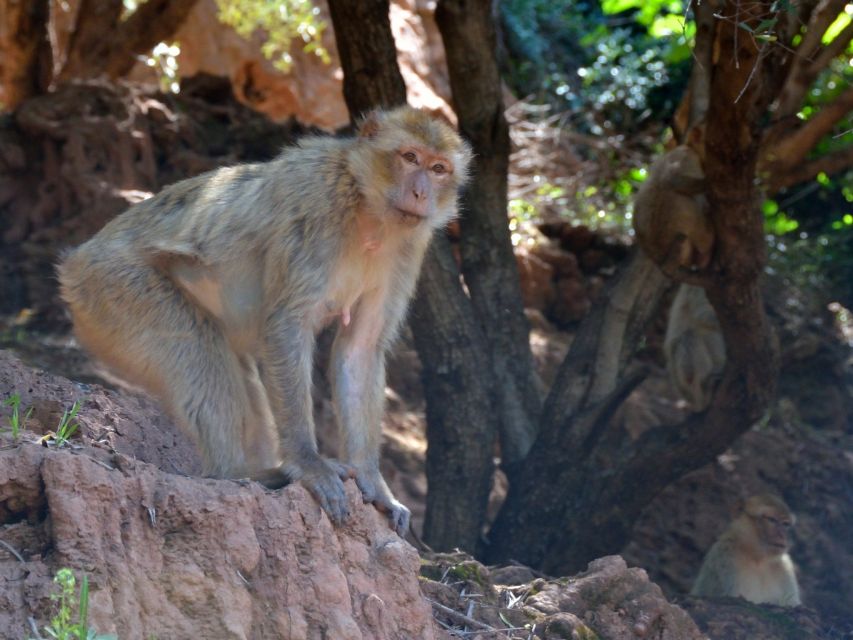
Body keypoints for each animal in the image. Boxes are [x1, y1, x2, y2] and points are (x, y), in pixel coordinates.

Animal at [60, 106, 472, 536]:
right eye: (409, 157)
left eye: (439, 168)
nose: (421, 193)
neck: (368, 209)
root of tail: (75, 262)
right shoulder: (316, 204)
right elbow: (286, 327)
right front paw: (308, 463)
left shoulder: (409, 248)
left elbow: (360, 348)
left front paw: (374, 483)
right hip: (113, 288)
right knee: (197, 349)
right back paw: (234, 475)